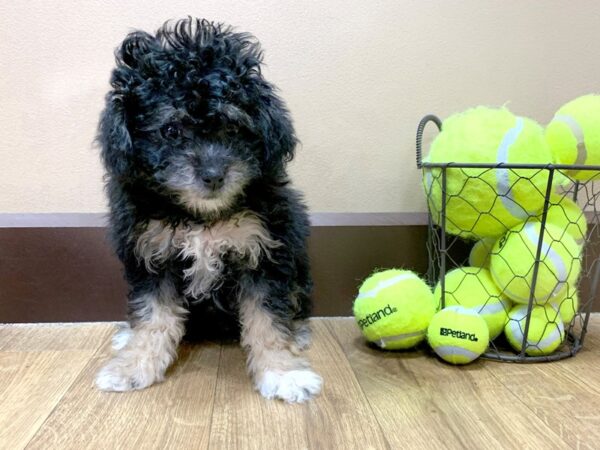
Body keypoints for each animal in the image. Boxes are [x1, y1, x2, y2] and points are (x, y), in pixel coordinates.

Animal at [96, 18, 322, 404]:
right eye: (171, 130)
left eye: (233, 126)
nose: (214, 175)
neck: (200, 216)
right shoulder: (151, 253)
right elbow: (153, 315)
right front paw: (134, 366)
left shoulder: (264, 251)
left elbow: (267, 317)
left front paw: (282, 372)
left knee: (293, 303)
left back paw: (298, 333)